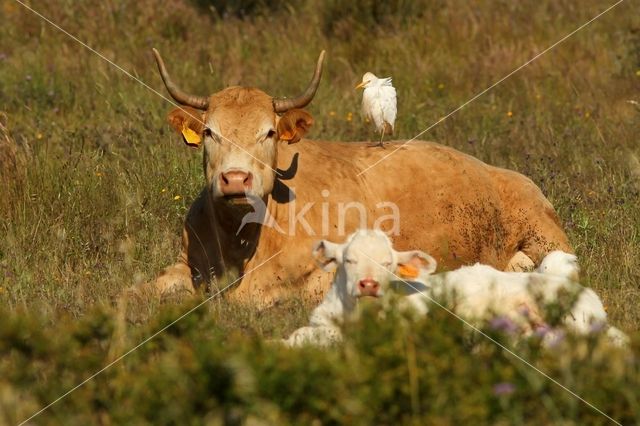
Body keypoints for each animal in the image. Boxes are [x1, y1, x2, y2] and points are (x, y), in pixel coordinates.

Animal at [142, 49, 572, 306]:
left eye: (269, 133)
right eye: (210, 132)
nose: (235, 179)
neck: (242, 237)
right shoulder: (188, 263)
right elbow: (146, 288)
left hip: (545, 234)